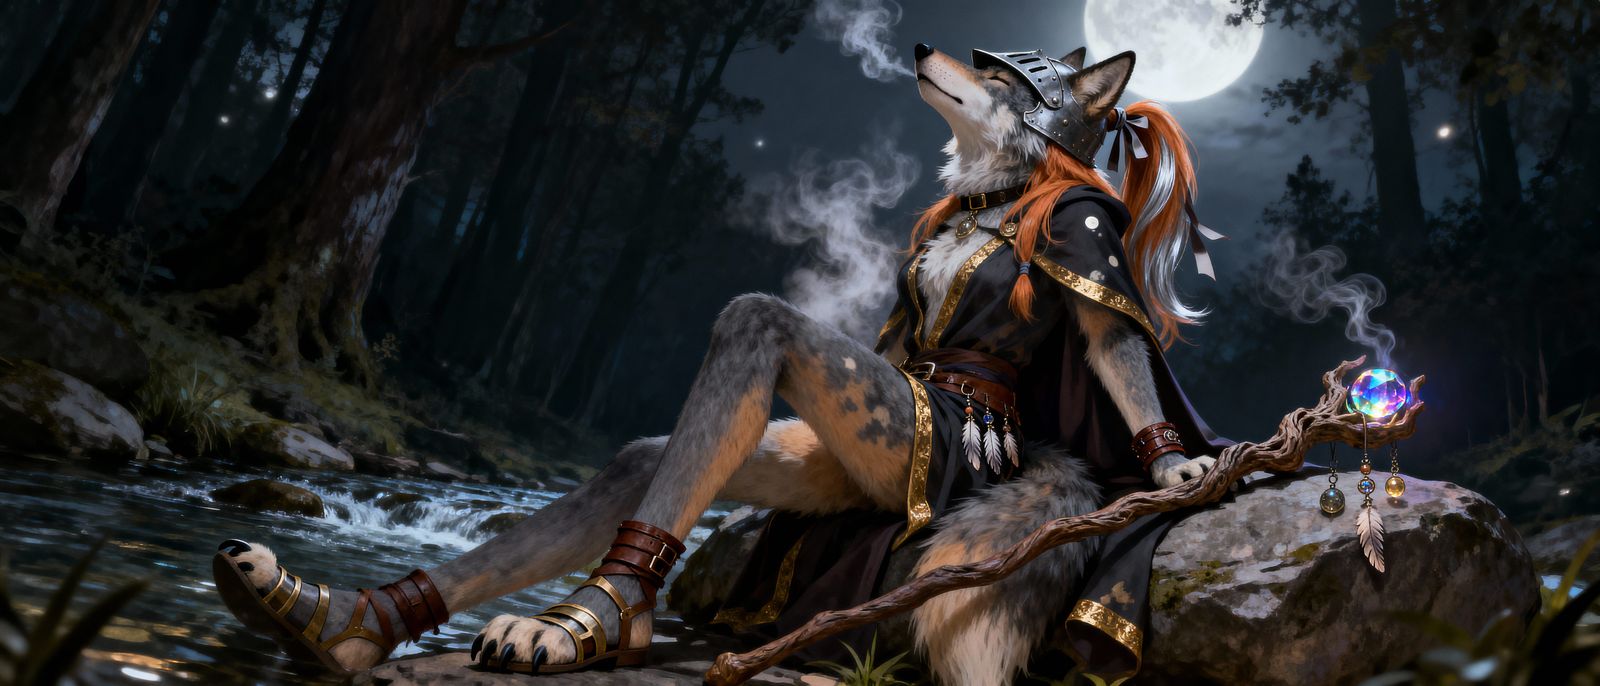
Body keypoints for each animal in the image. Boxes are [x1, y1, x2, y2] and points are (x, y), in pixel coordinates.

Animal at [212, 43, 1218, 686]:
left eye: (1002, 76)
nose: (927, 43)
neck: (1001, 191)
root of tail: (1016, 464)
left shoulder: (1085, 237)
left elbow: (1113, 345)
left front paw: (1177, 468)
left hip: (910, 455)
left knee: (756, 319)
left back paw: (564, 630)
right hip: (830, 475)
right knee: (641, 464)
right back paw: (339, 622)